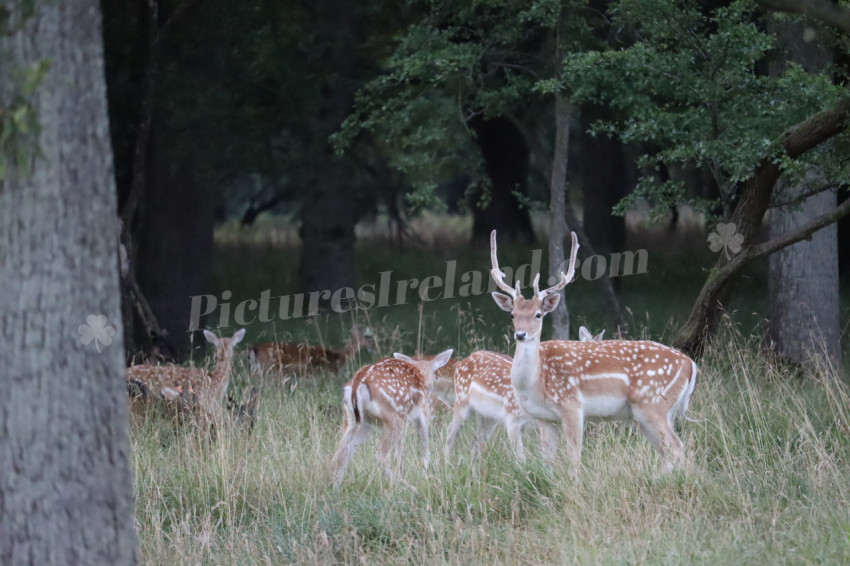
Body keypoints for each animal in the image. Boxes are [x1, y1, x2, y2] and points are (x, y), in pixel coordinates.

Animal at [330, 348, 450, 490]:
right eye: (435, 375)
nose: (431, 386)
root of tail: (358, 383)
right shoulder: (421, 412)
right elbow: (424, 442)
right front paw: (424, 471)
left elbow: (400, 448)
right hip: (393, 416)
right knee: (381, 455)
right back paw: (404, 485)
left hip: (356, 419)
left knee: (340, 455)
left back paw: (335, 488)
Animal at [490, 231, 696, 474]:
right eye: (512, 314)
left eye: (538, 314)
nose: (520, 334)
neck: (536, 382)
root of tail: (690, 365)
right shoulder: (545, 418)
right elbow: (547, 462)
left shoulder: (572, 406)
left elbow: (574, 459)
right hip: (651, 413)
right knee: (668, 452)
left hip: (652, 404)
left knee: (677, 447)